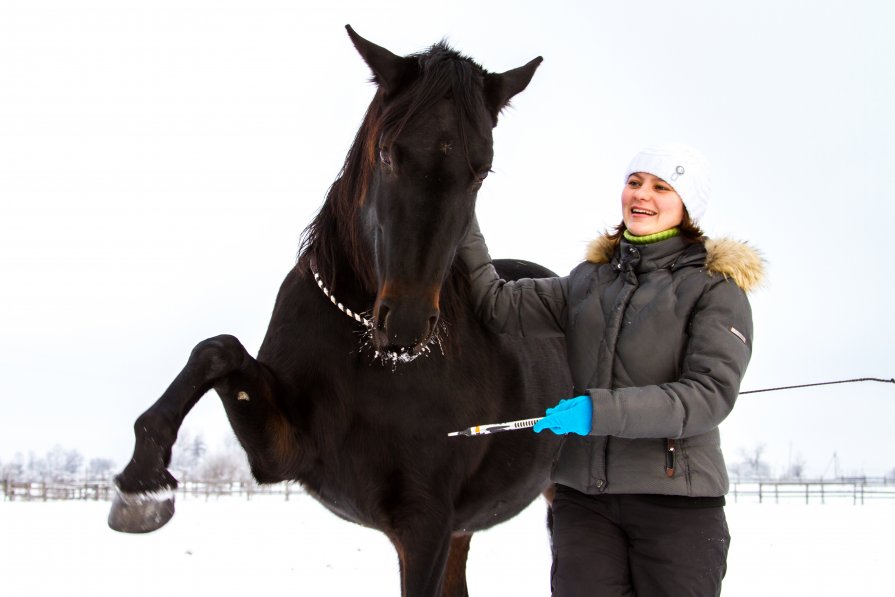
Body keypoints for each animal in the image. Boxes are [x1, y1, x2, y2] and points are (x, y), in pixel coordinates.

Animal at [112, 28, 572, 596]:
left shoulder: (425, 525)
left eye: (481, 172)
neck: (365, 361)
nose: (405, 326)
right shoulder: (282, 450)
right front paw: (141, 485)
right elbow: (217, 352)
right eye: (388, 153)